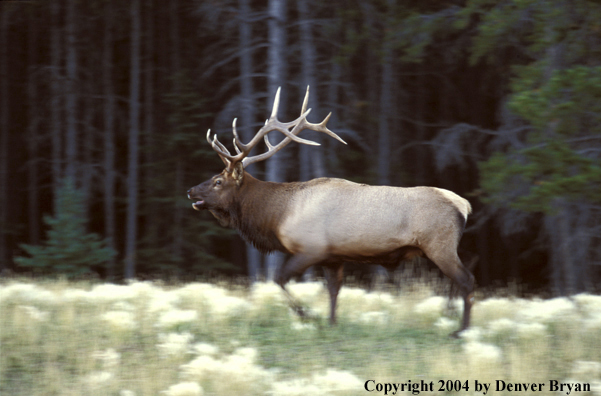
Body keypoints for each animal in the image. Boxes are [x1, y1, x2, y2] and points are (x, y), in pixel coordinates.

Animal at [188, 86, 474, 334]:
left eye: (218, 181)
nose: (191, 191)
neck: (277, 217)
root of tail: (464, 205)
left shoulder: (310, 248)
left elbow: (279, 279)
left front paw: (309, 316)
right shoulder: (333, 257)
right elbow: (334, 291)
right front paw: (331, 323)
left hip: (439, 244)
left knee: (466, 280)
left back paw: (460, 330)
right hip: (438, 248)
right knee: (455, 282)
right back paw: (449, 316)